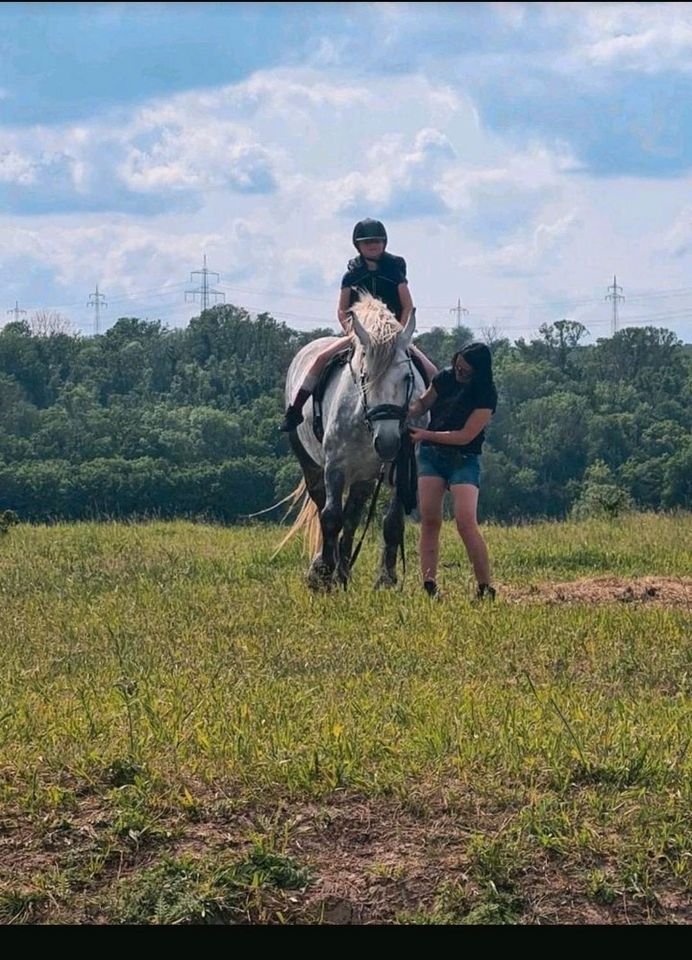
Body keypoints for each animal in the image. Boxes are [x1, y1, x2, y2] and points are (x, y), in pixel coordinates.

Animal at [282, 294, 428, 592]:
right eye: (365, 376)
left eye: (407, 377)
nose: (388, 443)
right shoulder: (335, 467)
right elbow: (330, 517)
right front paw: (324, 575)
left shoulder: (402, 467)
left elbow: (391, 522)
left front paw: (386, 579)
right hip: (312, 464)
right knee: (324, 507)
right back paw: (327, 569)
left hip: (364, 476)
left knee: (352, 517)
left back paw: (344, 571)